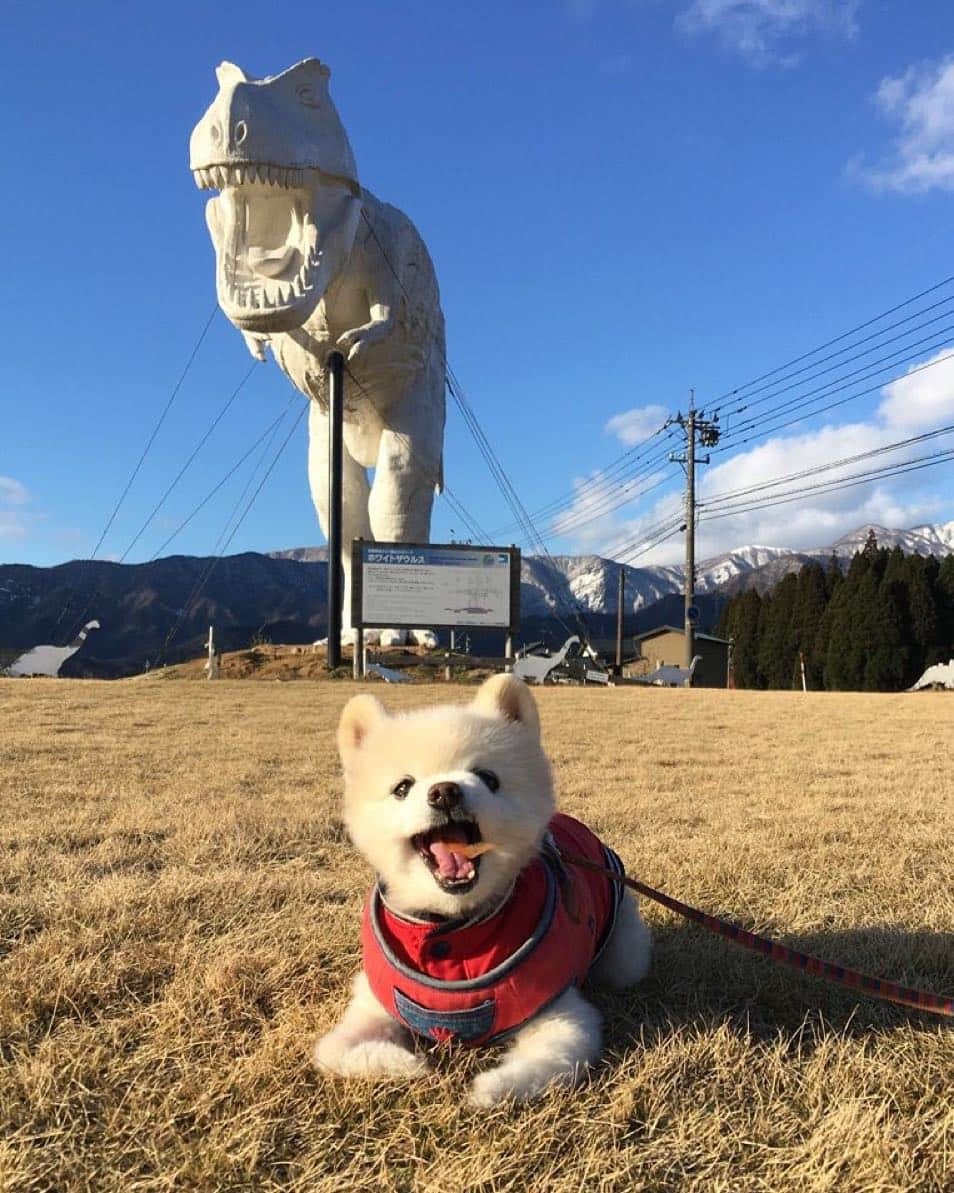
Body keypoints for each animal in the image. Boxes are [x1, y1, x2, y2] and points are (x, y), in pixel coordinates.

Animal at [317, 677, 653, 1102]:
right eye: (402, 787)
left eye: (488, 778)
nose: (445, 791)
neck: (451, 930)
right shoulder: (372, 1003)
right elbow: (333, 1050)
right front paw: (405, 1065)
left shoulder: (558, 1010)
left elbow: (550, 1063)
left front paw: (489, 1089)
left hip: (624, 960)